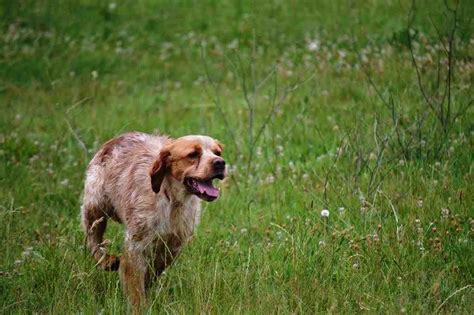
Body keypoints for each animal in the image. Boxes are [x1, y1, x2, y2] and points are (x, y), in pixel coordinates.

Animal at [80, 133, 225, 306]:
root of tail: (115, 139)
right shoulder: (136, 245)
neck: (171, 200)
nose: (220, 163)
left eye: (218, 153)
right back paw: (106, 261)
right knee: (93, 239)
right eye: (193, 154)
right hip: (96, 206)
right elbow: (135, 289)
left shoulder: (173, 244)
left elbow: (152, 272)